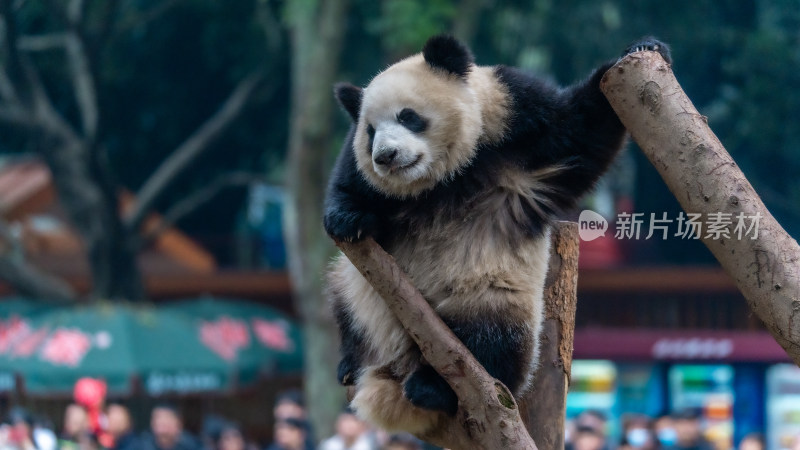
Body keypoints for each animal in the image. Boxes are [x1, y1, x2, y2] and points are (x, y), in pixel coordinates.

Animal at [324, 33, 668, 434]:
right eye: (370, 132)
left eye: (408, 116)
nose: (386, 156)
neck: (441, 181)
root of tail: (398, 363)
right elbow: (350, 182)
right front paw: (347, 219)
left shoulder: (516, 113)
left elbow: (579, 129)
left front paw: (644, 48)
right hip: (359, 291)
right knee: (343, 303)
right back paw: (349, 363)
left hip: (491, 298)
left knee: (495, 341)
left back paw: (432, 388)